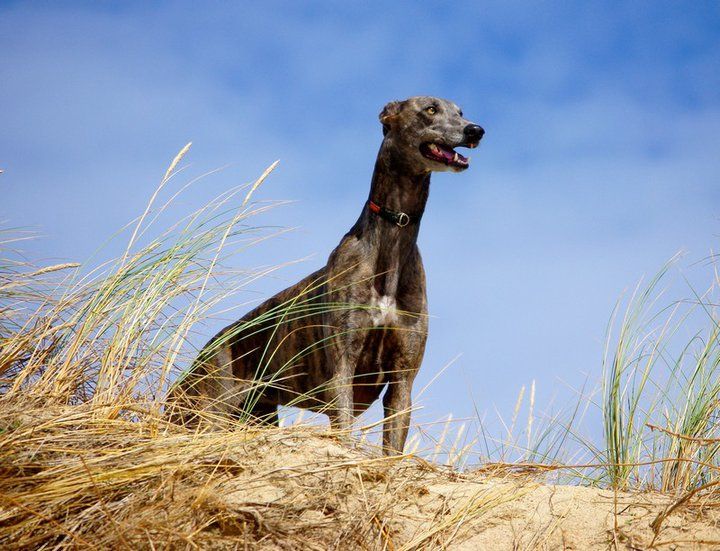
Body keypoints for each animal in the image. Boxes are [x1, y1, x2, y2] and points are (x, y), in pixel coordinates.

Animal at [168, 96, 484, 458]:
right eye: (430, 109)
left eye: (460, 113)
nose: (476, 130)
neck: (392, 241)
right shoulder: (342, 365)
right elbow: (344, 429)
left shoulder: (403, 378)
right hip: (210, 405)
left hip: (259, 412)